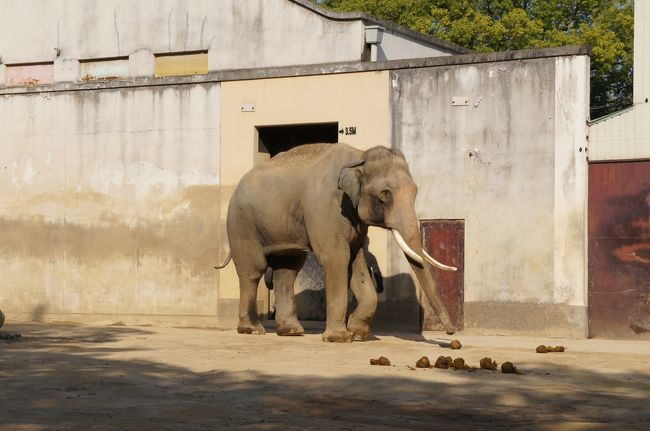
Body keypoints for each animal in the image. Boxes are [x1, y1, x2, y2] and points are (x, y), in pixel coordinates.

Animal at [218, 143, 456, 342]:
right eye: (385, 193)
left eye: (415, 192)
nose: (452, 334)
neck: (359, 156)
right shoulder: (325, 208)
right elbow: (337, 257)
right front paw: (339, 338)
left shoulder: (355, 220)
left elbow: (356, 262)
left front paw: (357, 333)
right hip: (241, 223)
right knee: (253, 270)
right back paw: (251, 330)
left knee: (288, 269)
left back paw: (291, 331)